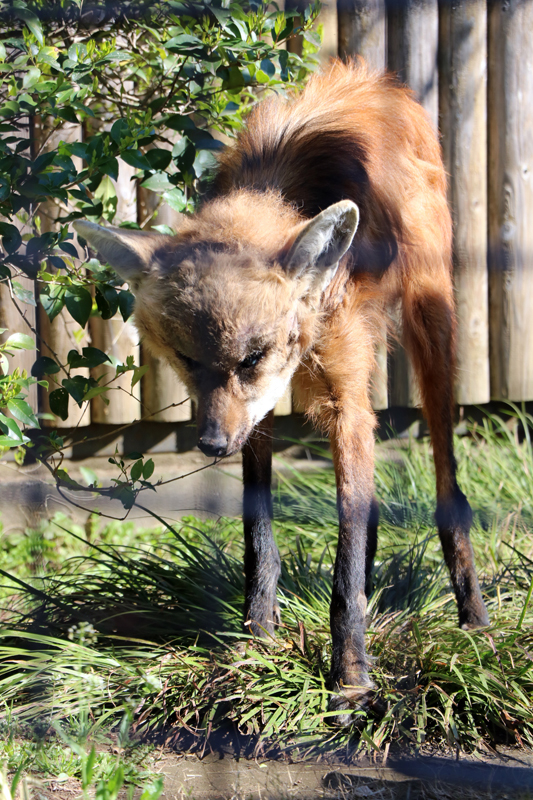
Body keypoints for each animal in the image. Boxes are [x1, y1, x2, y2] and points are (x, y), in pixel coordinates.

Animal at [74, 57, 486, 720]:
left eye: (252, 357)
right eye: (188, 360)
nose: (211, 445)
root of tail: (379, 80)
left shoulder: (340, 397)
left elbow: (344, 562)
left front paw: (350, 677)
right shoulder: (256, 416)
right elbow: (260, 539)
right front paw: (256, 646)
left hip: (432, 326)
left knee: (446, 485)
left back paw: (473, 617)